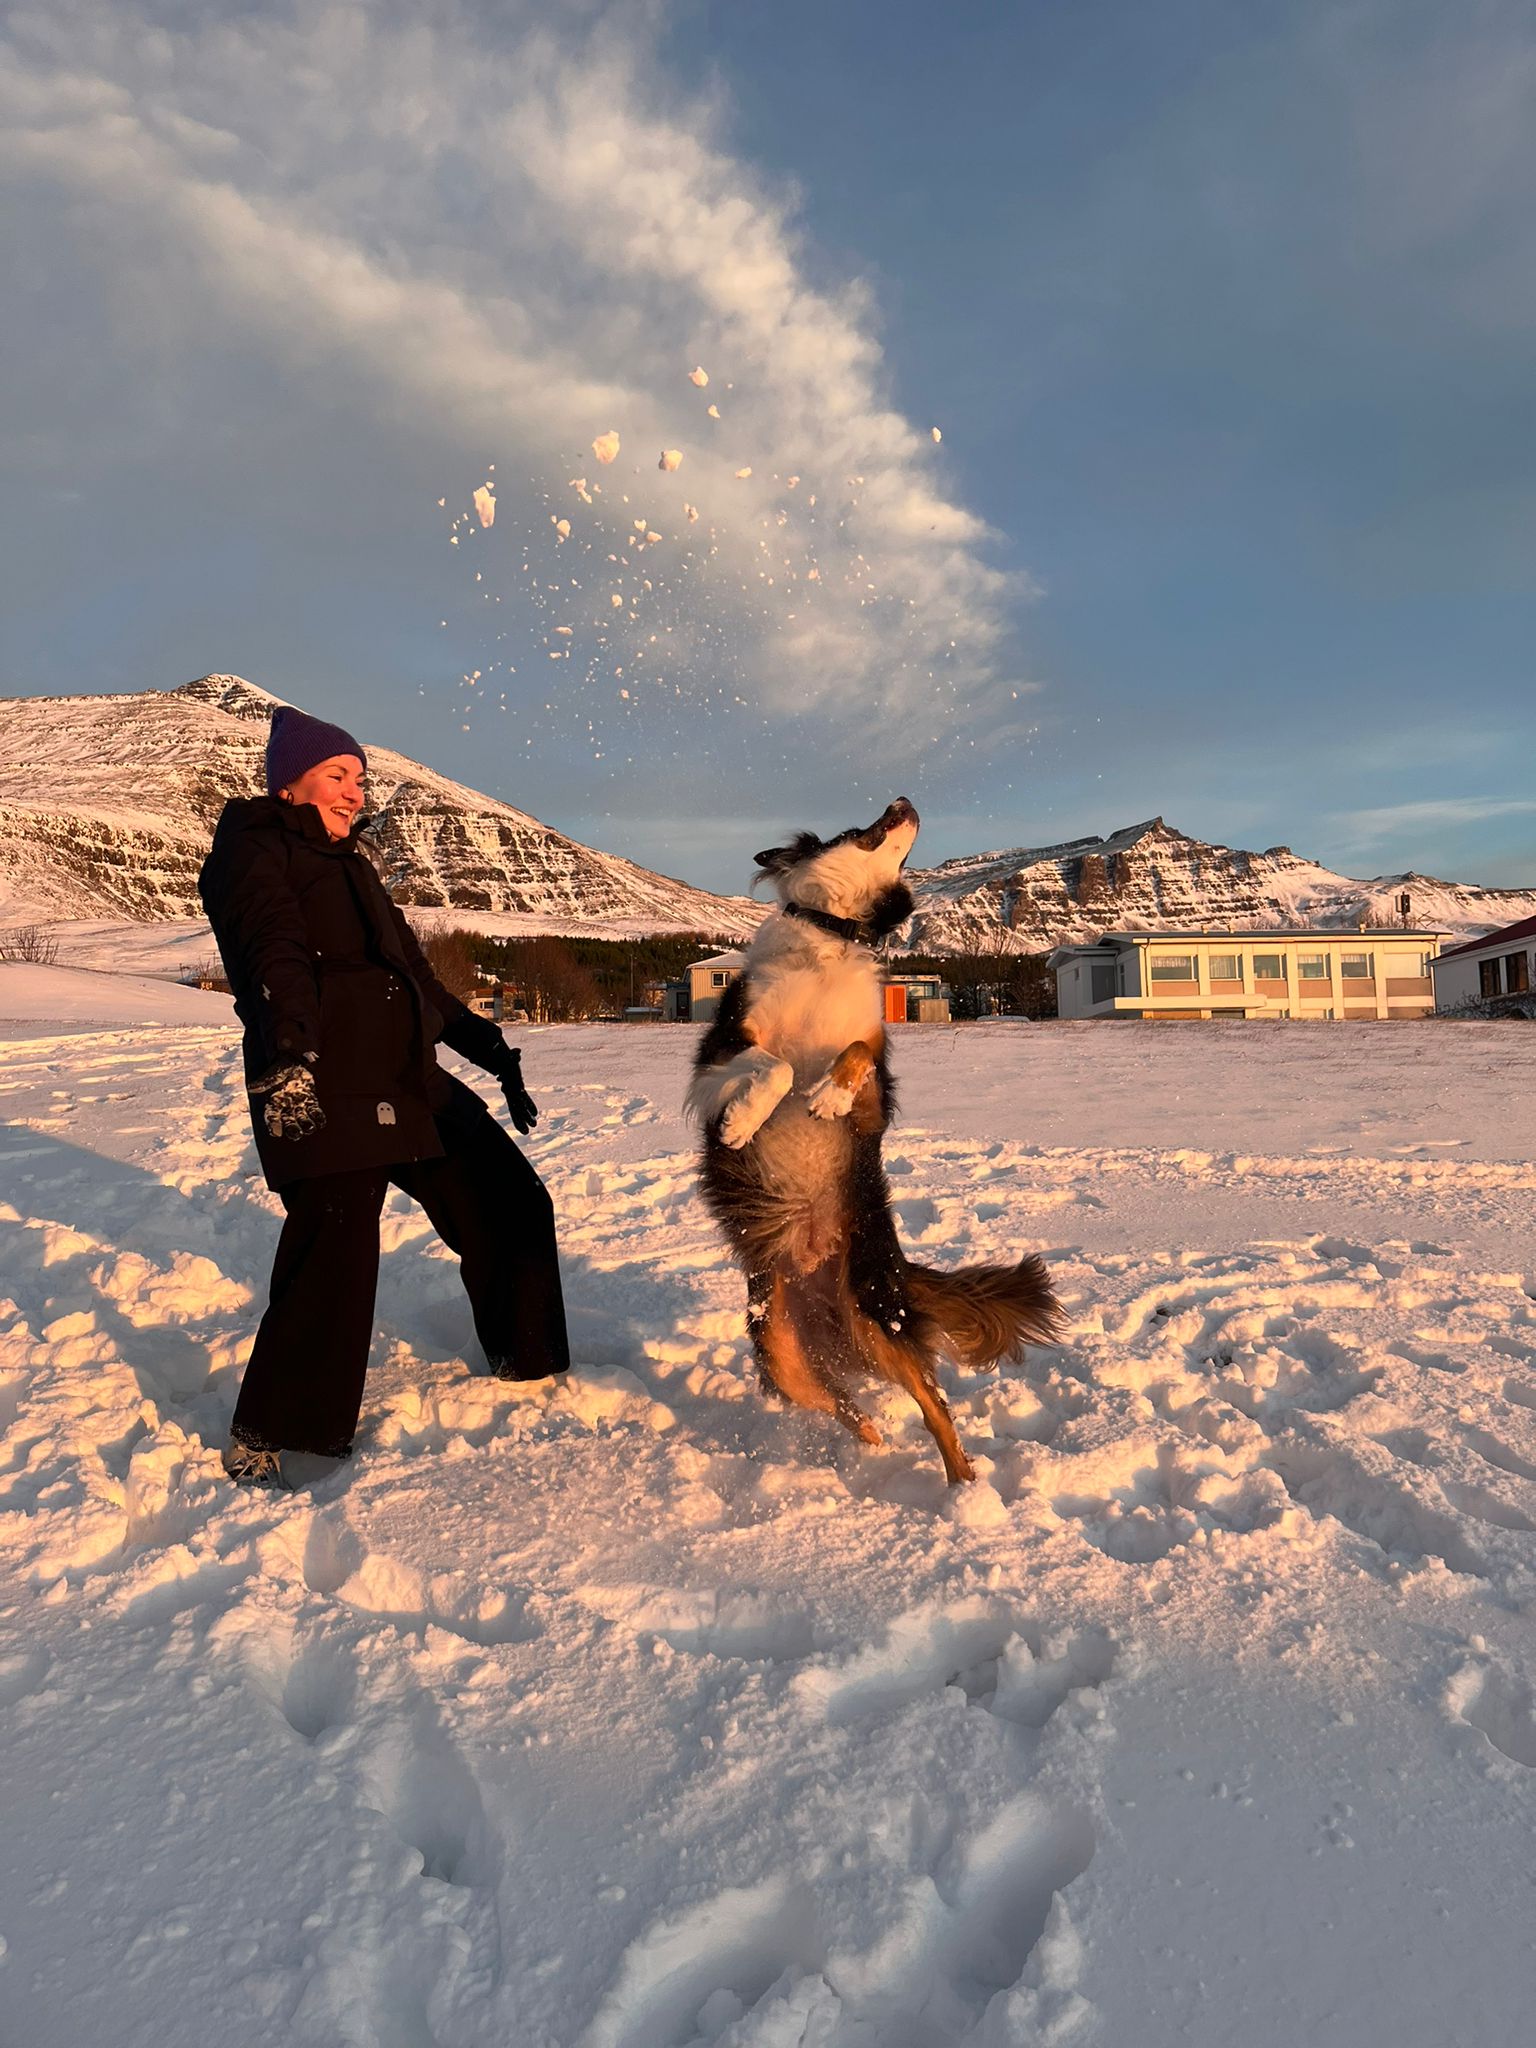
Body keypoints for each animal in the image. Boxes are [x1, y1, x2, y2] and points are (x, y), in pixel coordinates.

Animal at [692, 790, 1064, 1482]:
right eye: (854, 826)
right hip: (782, 1352)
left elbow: (856, 1052)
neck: (832, 936)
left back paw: (964, 1487)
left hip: (875, 1318)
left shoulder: (875, 1097)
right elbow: (776, 1066)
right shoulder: (725, 1045)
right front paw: (744, 1120)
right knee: (845, 1406)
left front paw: (828, 1096)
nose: (903, 799)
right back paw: (875, 1450)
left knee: (934, 1406)